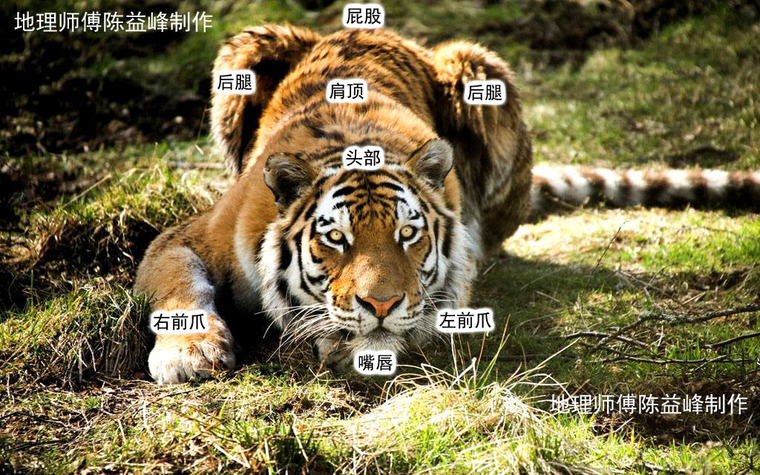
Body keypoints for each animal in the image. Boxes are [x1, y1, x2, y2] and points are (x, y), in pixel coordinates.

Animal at [134, 25, 760, 384]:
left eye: (408, 235)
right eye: (335, 238)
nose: (381, 305)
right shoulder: (186, 236)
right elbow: (180, 286)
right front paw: (189, 354)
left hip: (480, 70)